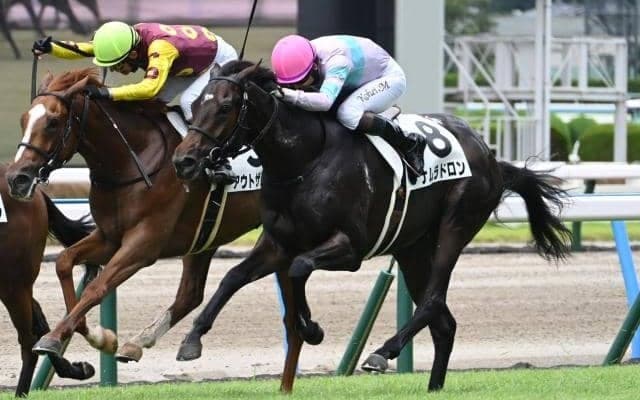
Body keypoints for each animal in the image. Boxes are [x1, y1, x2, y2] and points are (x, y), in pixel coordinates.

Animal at [4, 67, 272, 373]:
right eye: (24, 119)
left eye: (52, 122)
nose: (16, 178)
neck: (131, 160)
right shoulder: (109, 236)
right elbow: (64, 262)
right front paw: (95, 335)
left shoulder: (144, 243)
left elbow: (97, 287)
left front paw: (61, 337)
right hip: (205, 236)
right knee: (190, 294)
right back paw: (139, 343)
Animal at [171, 60, 572, 392]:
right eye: (196, 105)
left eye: (225, 107)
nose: (184, 161)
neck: (303, 159)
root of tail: (490, 155)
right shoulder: (277, 244)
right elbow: (233, 277)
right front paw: (192, 340)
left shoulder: (350, 247)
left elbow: (300, 268)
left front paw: (311, 329)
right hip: (412, 248)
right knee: (444, 322)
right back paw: (433, 387)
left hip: (455, 226)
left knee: (433, 299)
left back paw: (382, 352)